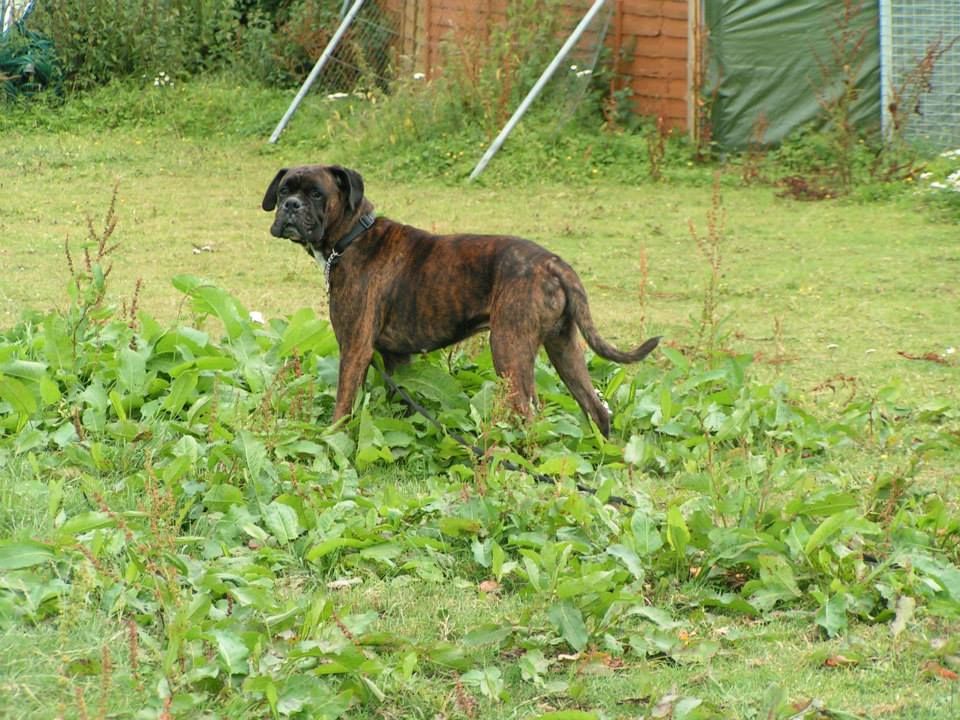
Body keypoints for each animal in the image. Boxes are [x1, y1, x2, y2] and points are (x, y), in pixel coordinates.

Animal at [262, 165, 660, 434]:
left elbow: (344, 403)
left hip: (509, 350)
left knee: (530, 413)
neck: (352, 235)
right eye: (284, 191)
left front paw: (333, 437)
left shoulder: (355, 348)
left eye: (316, 194)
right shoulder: (396, 357)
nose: (291, 206)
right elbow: (401, 398)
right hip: (564, 348)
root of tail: (553, 262)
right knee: (596, 408)